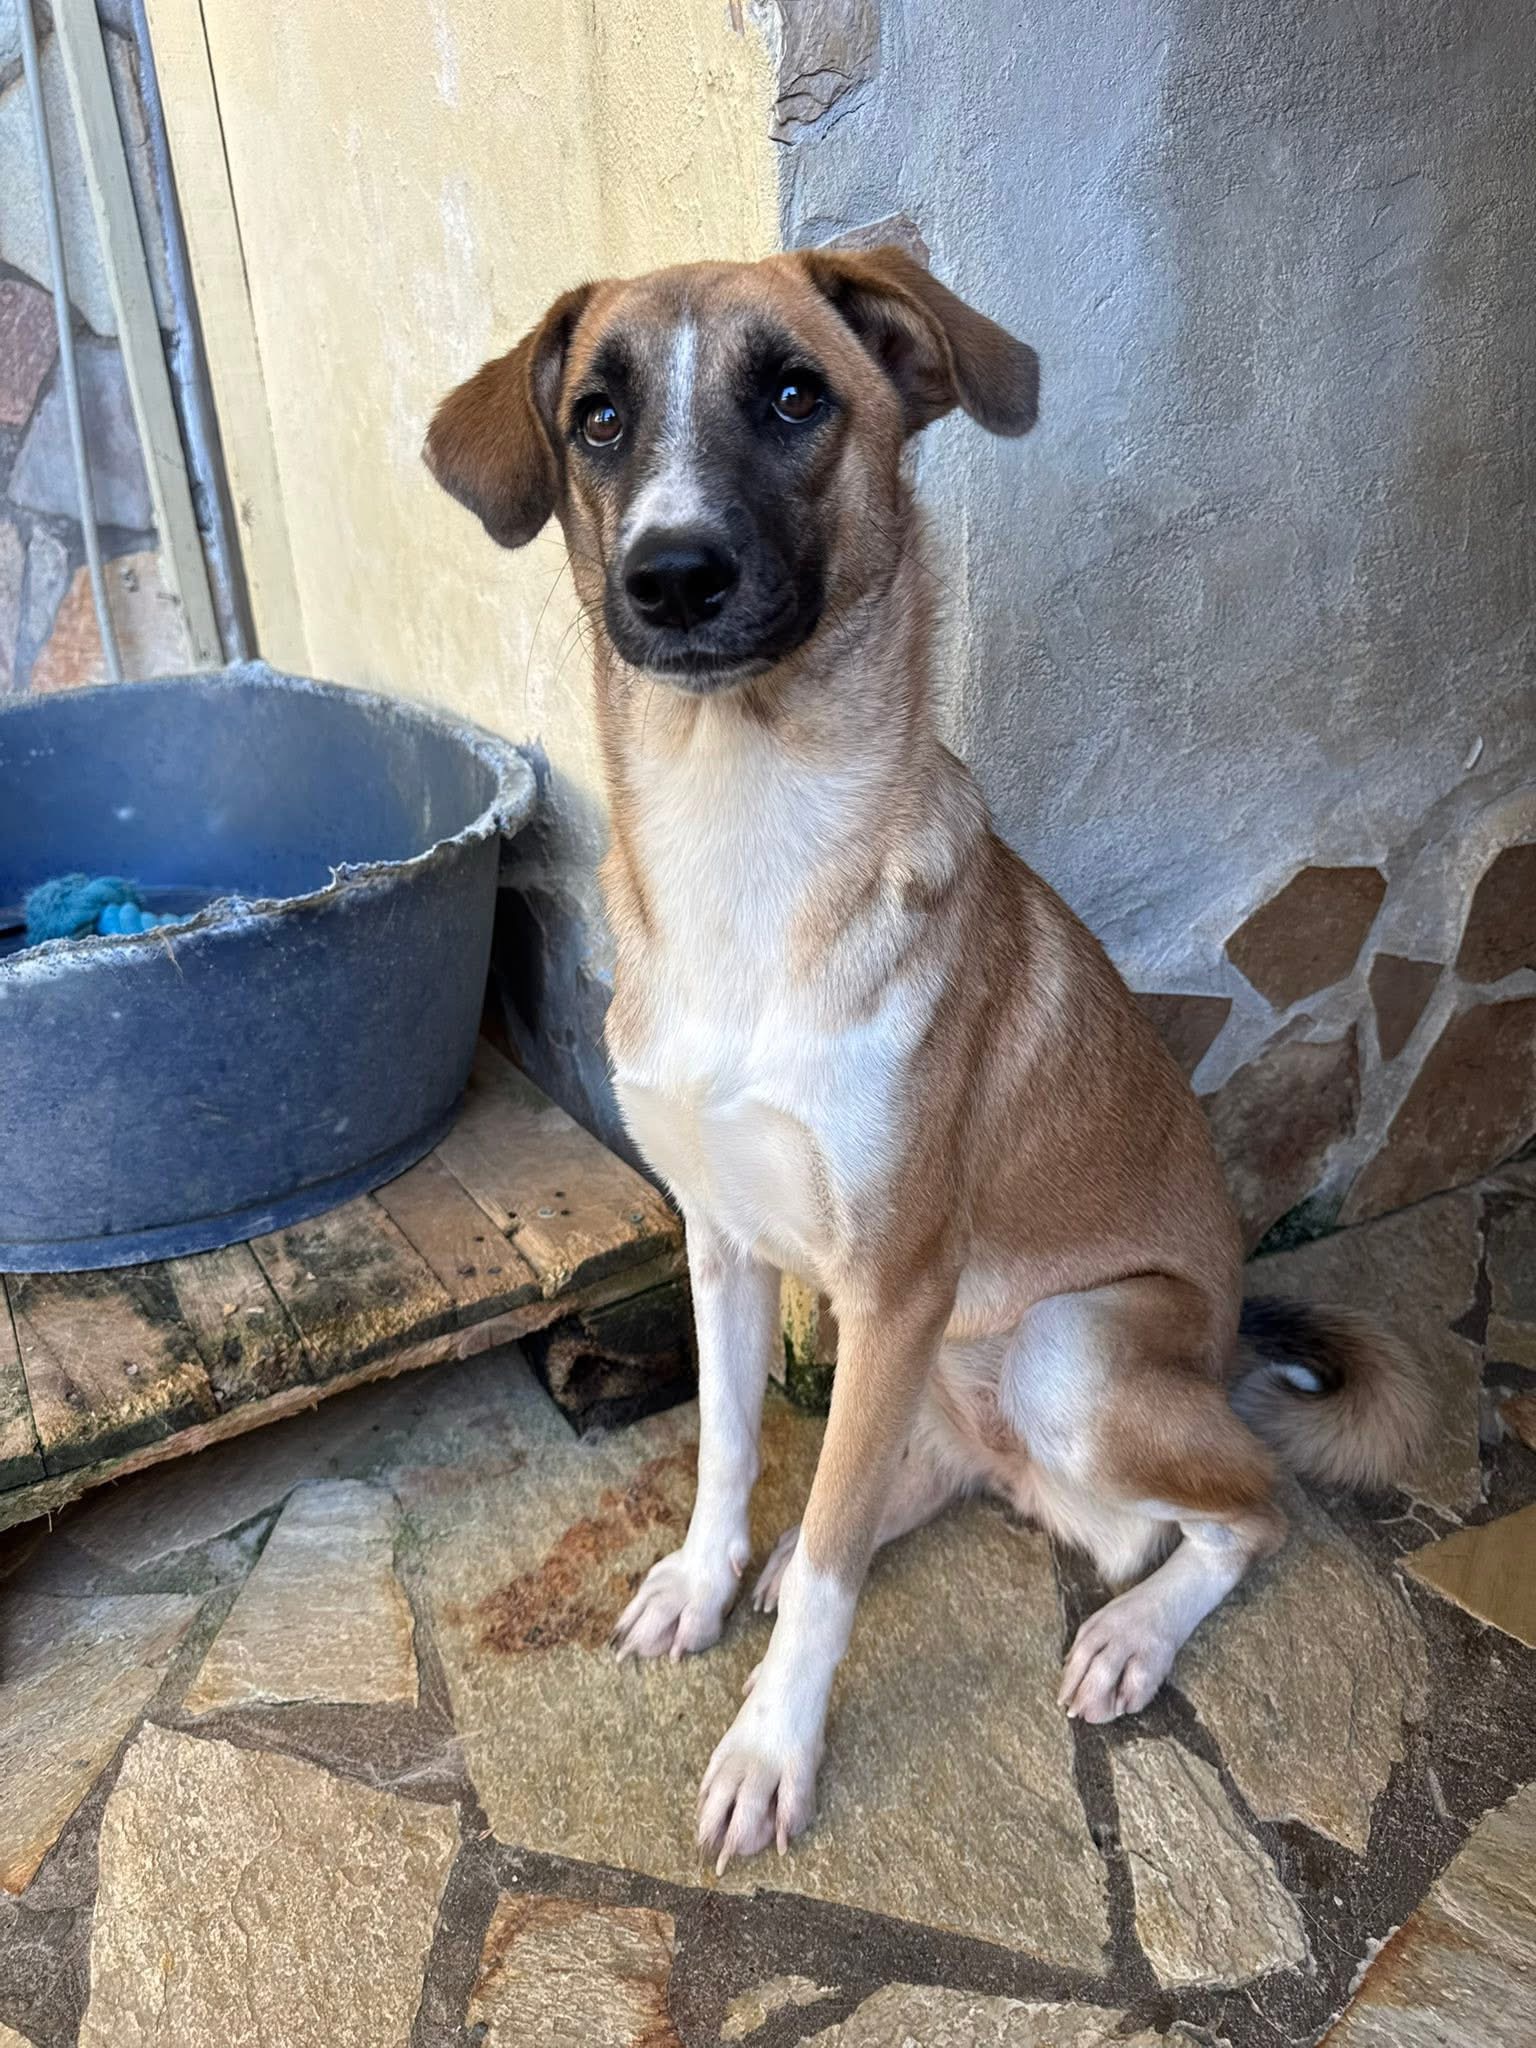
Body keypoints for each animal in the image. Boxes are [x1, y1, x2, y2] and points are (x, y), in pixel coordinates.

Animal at [425, 247, 1433, 1873]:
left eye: (794, 395)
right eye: (597, 418)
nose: (673, 575)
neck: (745, 836)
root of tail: (1218, 1349)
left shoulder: (895, 1281)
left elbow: (840, 1553)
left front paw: (772, 1747)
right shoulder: (722, 1241)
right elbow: (731, 1451)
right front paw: (706, 1581)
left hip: (1068, 1347)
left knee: (1246, 1507)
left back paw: (1135, 1632)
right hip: (959, 1367)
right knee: (931, 1474)